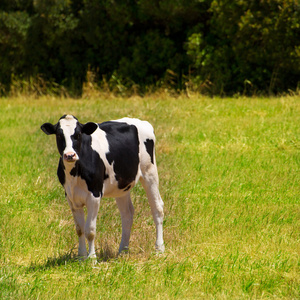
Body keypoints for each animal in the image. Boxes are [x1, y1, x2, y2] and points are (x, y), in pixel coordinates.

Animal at [40, 115, 164, 260]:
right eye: (59, 135)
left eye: (78, 134)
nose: (70, 155)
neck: (74, 173)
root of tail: (141, 121)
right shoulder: (71, 197)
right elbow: (79, 229)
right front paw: (81, 257)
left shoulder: (94, 195)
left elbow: (90, 230)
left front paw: (92, 258)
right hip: (121, 186)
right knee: (127, 214)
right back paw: (123, 250)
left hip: (149, 172)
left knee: (157, 209)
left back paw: (159, 249)